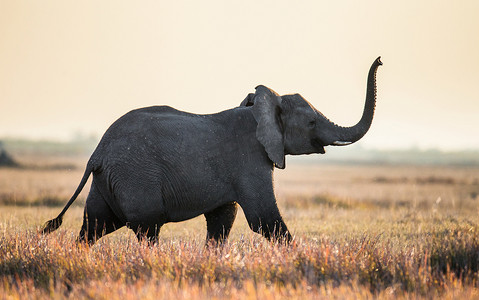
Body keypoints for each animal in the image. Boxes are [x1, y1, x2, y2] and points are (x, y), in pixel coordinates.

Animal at [43, 56, 384, 246]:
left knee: (94, 227)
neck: (260, 108)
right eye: (312, 122)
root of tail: (97, 153)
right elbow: (264, 219)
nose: (380, 60)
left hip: (108, 181)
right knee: (147, 228)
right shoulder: (250, 159)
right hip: (134, 176)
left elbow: (223, 220)